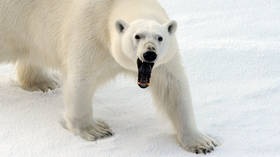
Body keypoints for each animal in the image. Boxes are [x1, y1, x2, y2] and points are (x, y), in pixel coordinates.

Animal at [0, 0, 218, 155]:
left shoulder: (163, 62)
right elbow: (81, 80)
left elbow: (173, 87)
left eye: (160, 37)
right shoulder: (89, 34)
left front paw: (201, 142)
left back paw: (43, 82)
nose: (149, 54)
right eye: (137, 36)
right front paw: (96, 130)